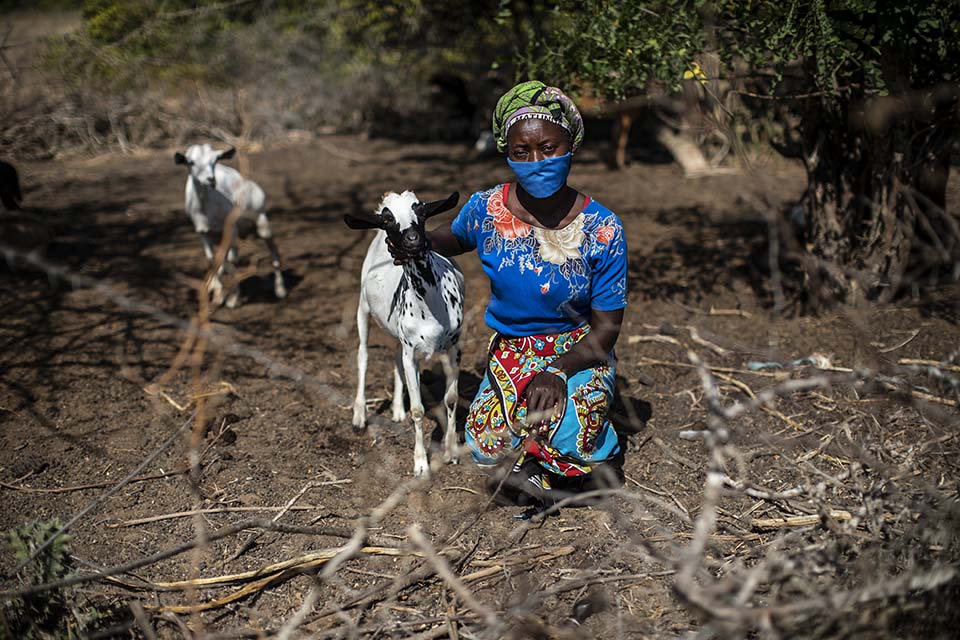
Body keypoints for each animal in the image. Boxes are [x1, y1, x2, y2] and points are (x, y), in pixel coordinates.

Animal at [174, 144, 284, 308]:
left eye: (215, 160)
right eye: (191, 162)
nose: (211, 180)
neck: (207, 209)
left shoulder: (230, 230)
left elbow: (231, 261)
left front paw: (233, 299)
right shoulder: (203, 233)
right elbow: (212, 259)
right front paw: (218, 293)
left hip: (261, 221)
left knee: (272, 248)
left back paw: (280, 290)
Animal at [344, 190, 464, 476]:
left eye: (421, 211)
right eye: (388, 220)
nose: (413, 240)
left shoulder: (454, 347)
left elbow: (451, 399)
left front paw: (451, 451)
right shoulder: (412, 353)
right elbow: (418, 411)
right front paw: (420, 464)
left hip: (397, 333)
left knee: (395, 357)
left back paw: (397, 409)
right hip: (362, 309)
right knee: (363, 356)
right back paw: (359, 416)